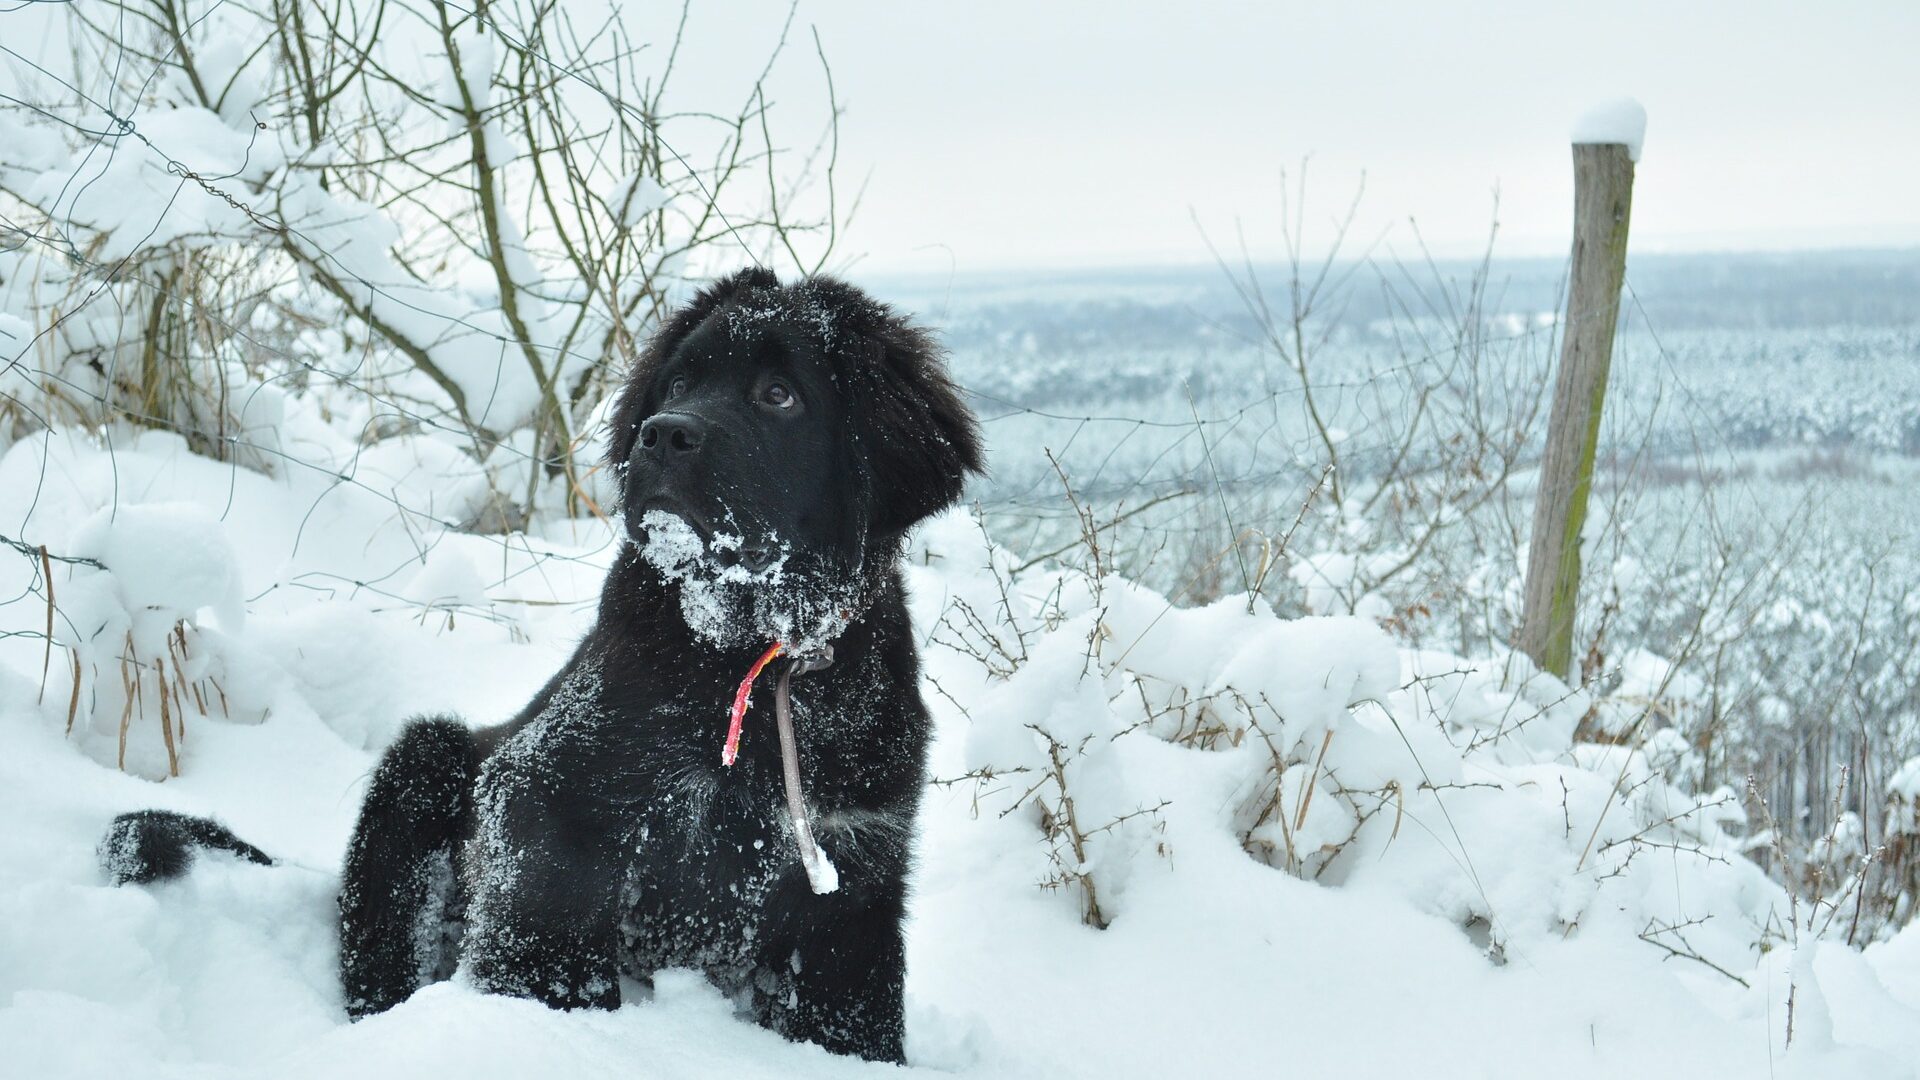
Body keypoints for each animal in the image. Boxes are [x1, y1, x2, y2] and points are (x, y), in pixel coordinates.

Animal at [99, 269, 983, 1060]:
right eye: (680, 381)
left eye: (780, 395)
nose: (663, 433)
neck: (746, 656)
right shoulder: (547, 797)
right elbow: (546, 945)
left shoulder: (855, 873)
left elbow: (852, 1016)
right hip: (422, 766)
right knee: (378, 956)